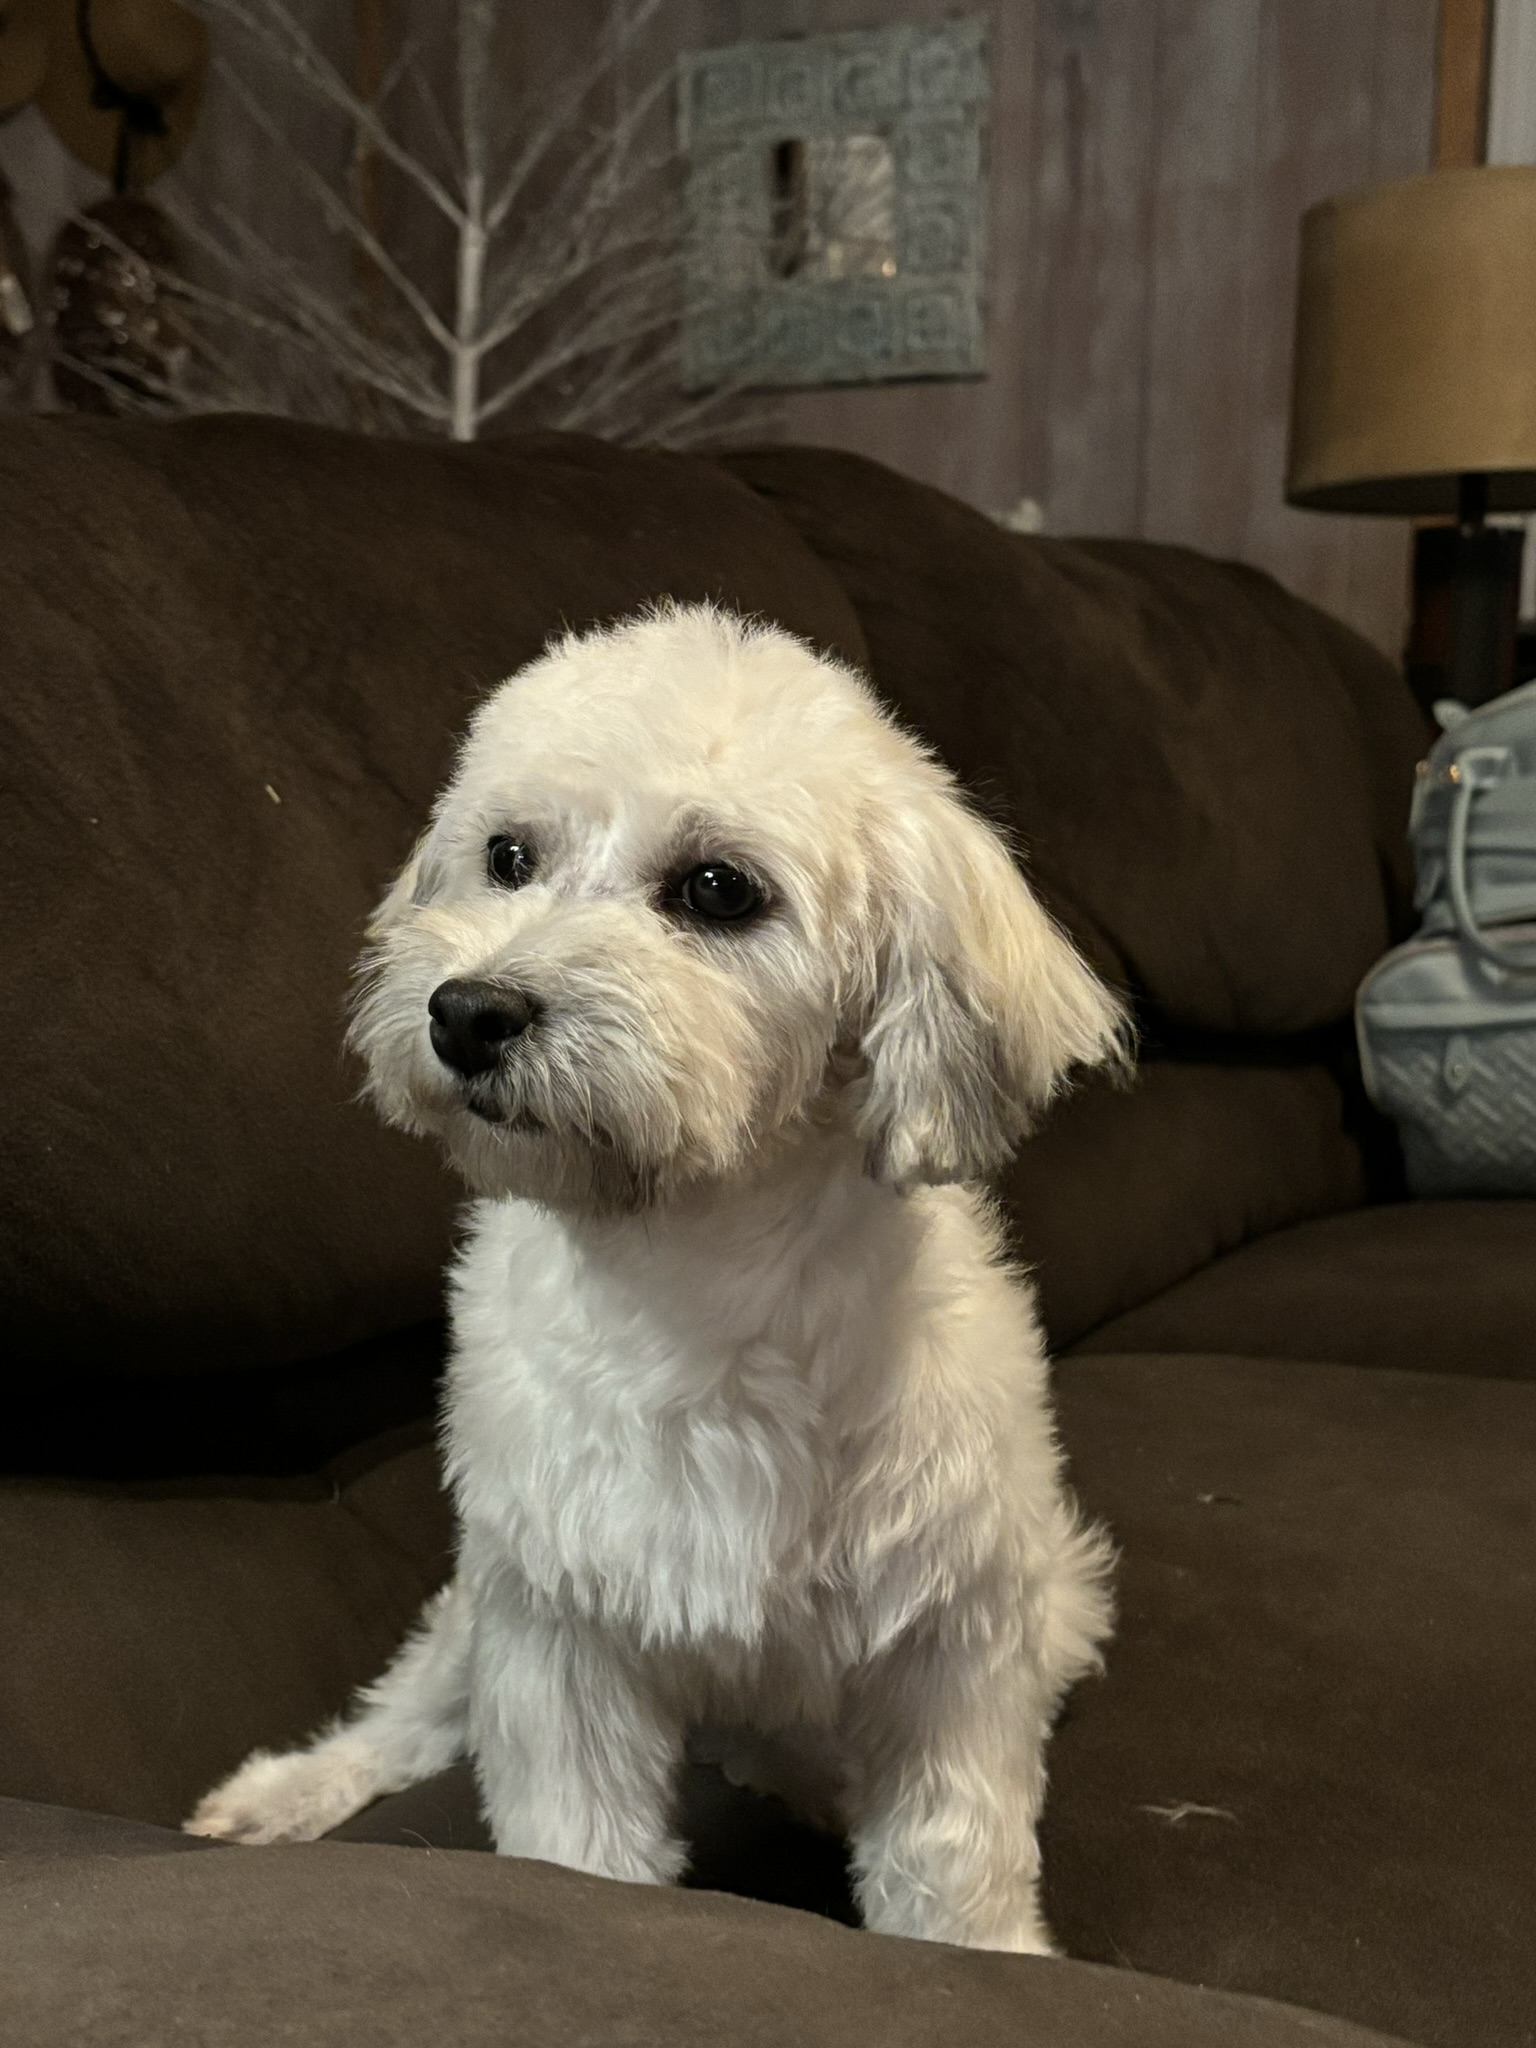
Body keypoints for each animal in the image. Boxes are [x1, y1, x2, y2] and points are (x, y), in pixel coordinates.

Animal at [192, 602, 1130, 1949]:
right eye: (508, 856)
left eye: (717, 889)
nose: (465, 1010)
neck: (693, 1273)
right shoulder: (557, 1621)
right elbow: (576, 1843)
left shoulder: (956, 1632)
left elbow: (955, 1851)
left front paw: (988, 1955)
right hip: (482, 1596)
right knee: (413, 1706)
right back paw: (292, 1787)